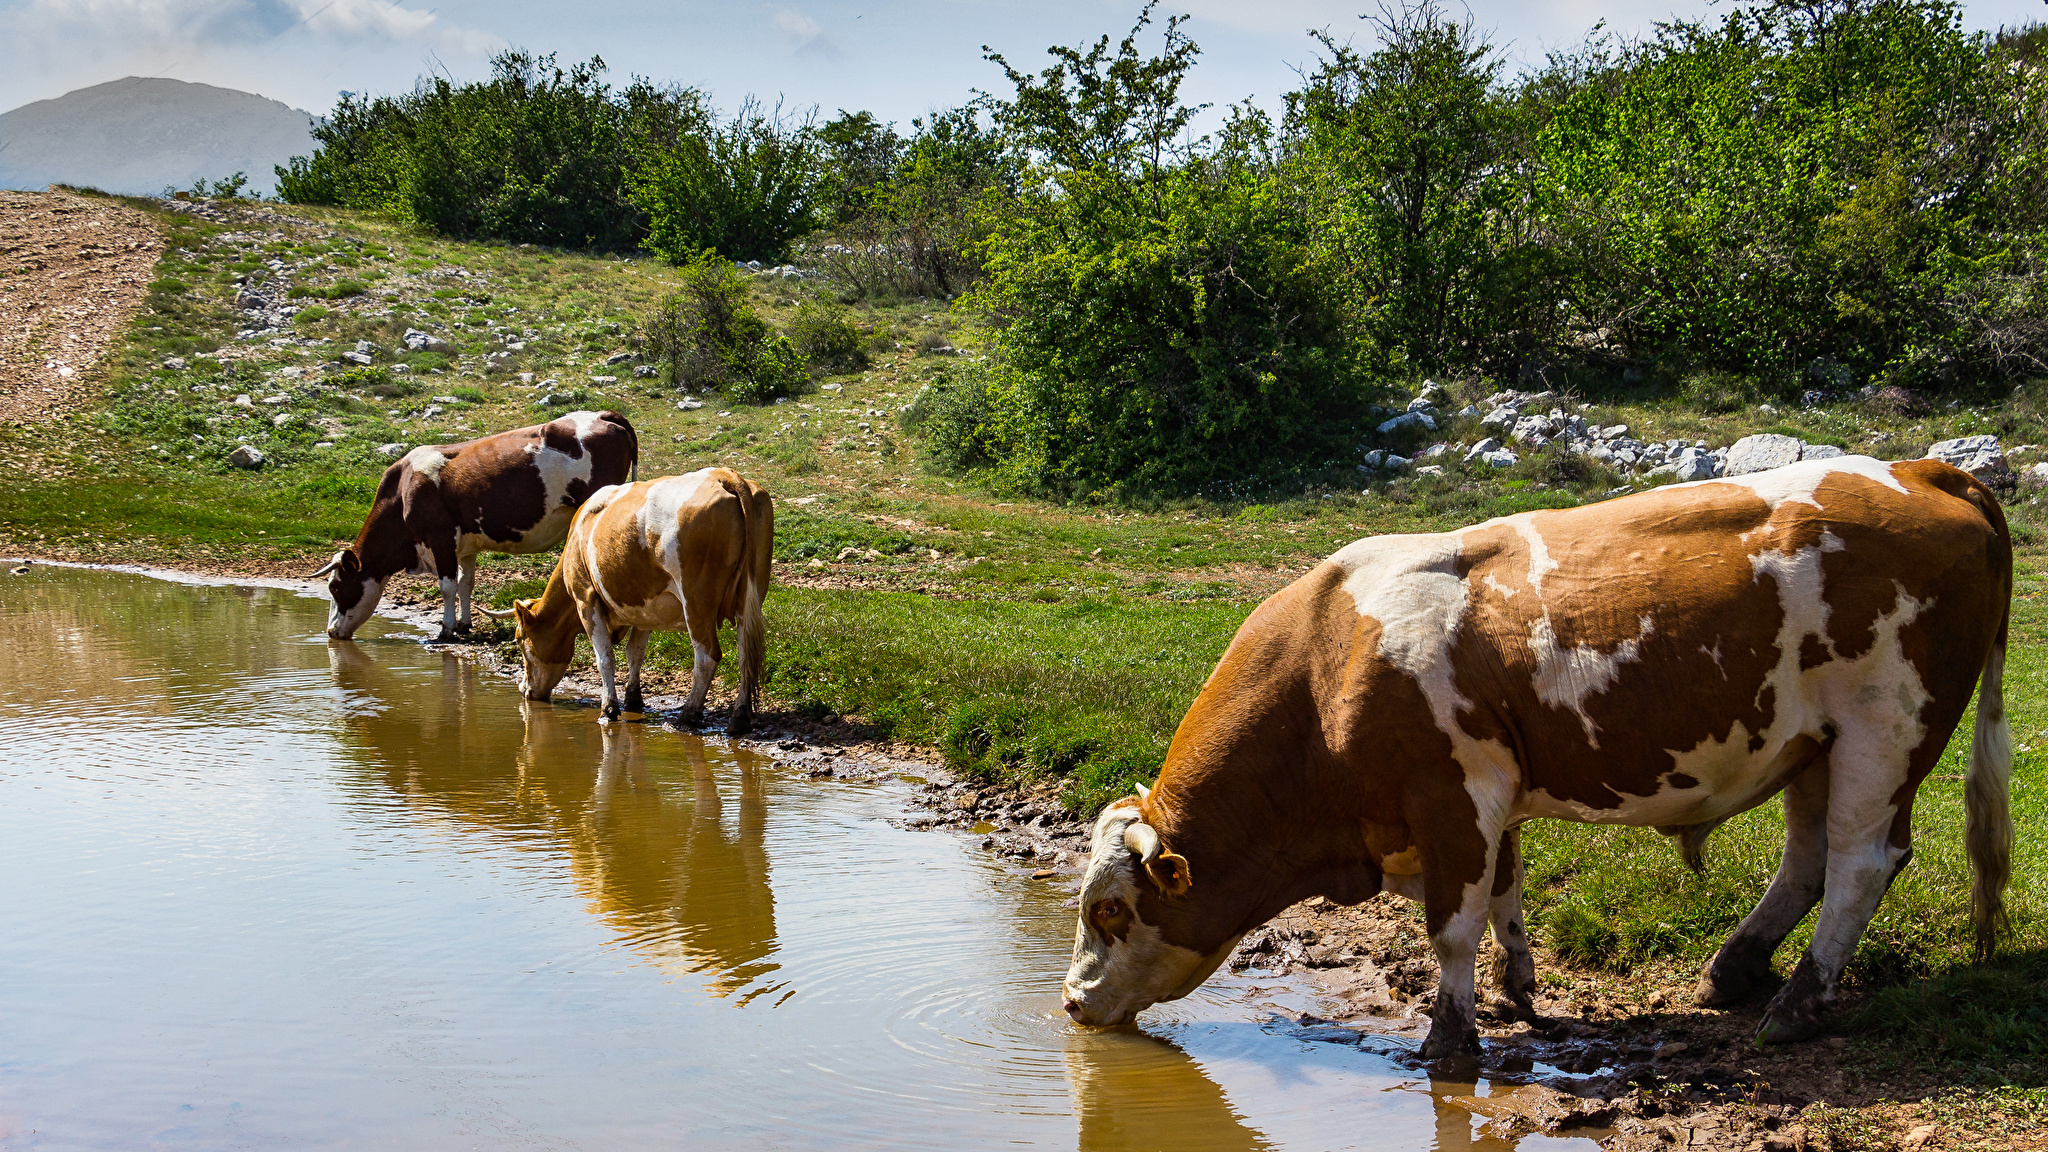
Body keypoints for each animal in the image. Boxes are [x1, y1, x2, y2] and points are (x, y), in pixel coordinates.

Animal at [307, 407, 630, 635]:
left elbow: (447, 586)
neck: (403, 490)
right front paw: (464, 623)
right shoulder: (464, 546)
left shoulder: (439, 538)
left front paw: (447, 628)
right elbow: (466, 584)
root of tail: (602, 414)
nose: (331, 632)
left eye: (335, 588)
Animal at [487, 463, 774, 725]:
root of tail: (723, 474)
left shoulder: (585, 599)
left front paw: (609, 708)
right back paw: (739, 716)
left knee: (707, 656)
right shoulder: (646, 605)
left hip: (696, 602)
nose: (524, 690)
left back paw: (689, 713)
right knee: (746, 654)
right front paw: (633, 698)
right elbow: (634, 651)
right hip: (750, 597)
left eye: (519, 639)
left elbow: (605, 658)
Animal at [1064, 455, 2007, 1049]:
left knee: (1860, 862)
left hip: (1885, 733)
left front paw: (1450, 1036)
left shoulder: (1450, 799)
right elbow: (1506, 897)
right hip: (1816, 744)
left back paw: (1799, 1003)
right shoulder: (1488, 801)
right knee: (1808, 859)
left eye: (1109, 910)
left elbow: (1452, 928)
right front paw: (1517, 988)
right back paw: (1734, 970)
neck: (1327, 665)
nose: (1071, 1003)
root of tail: (1921, 469)